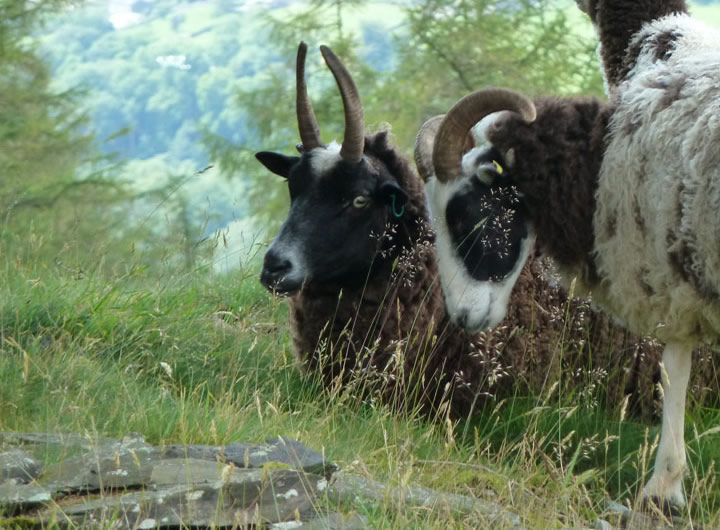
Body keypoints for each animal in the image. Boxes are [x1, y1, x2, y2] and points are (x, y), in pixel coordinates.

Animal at [421, 0, 720, 510]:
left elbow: (673, 368)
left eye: (466, 217)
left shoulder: (671, 266)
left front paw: (663, 488)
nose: (461, 317)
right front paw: (669, 487)